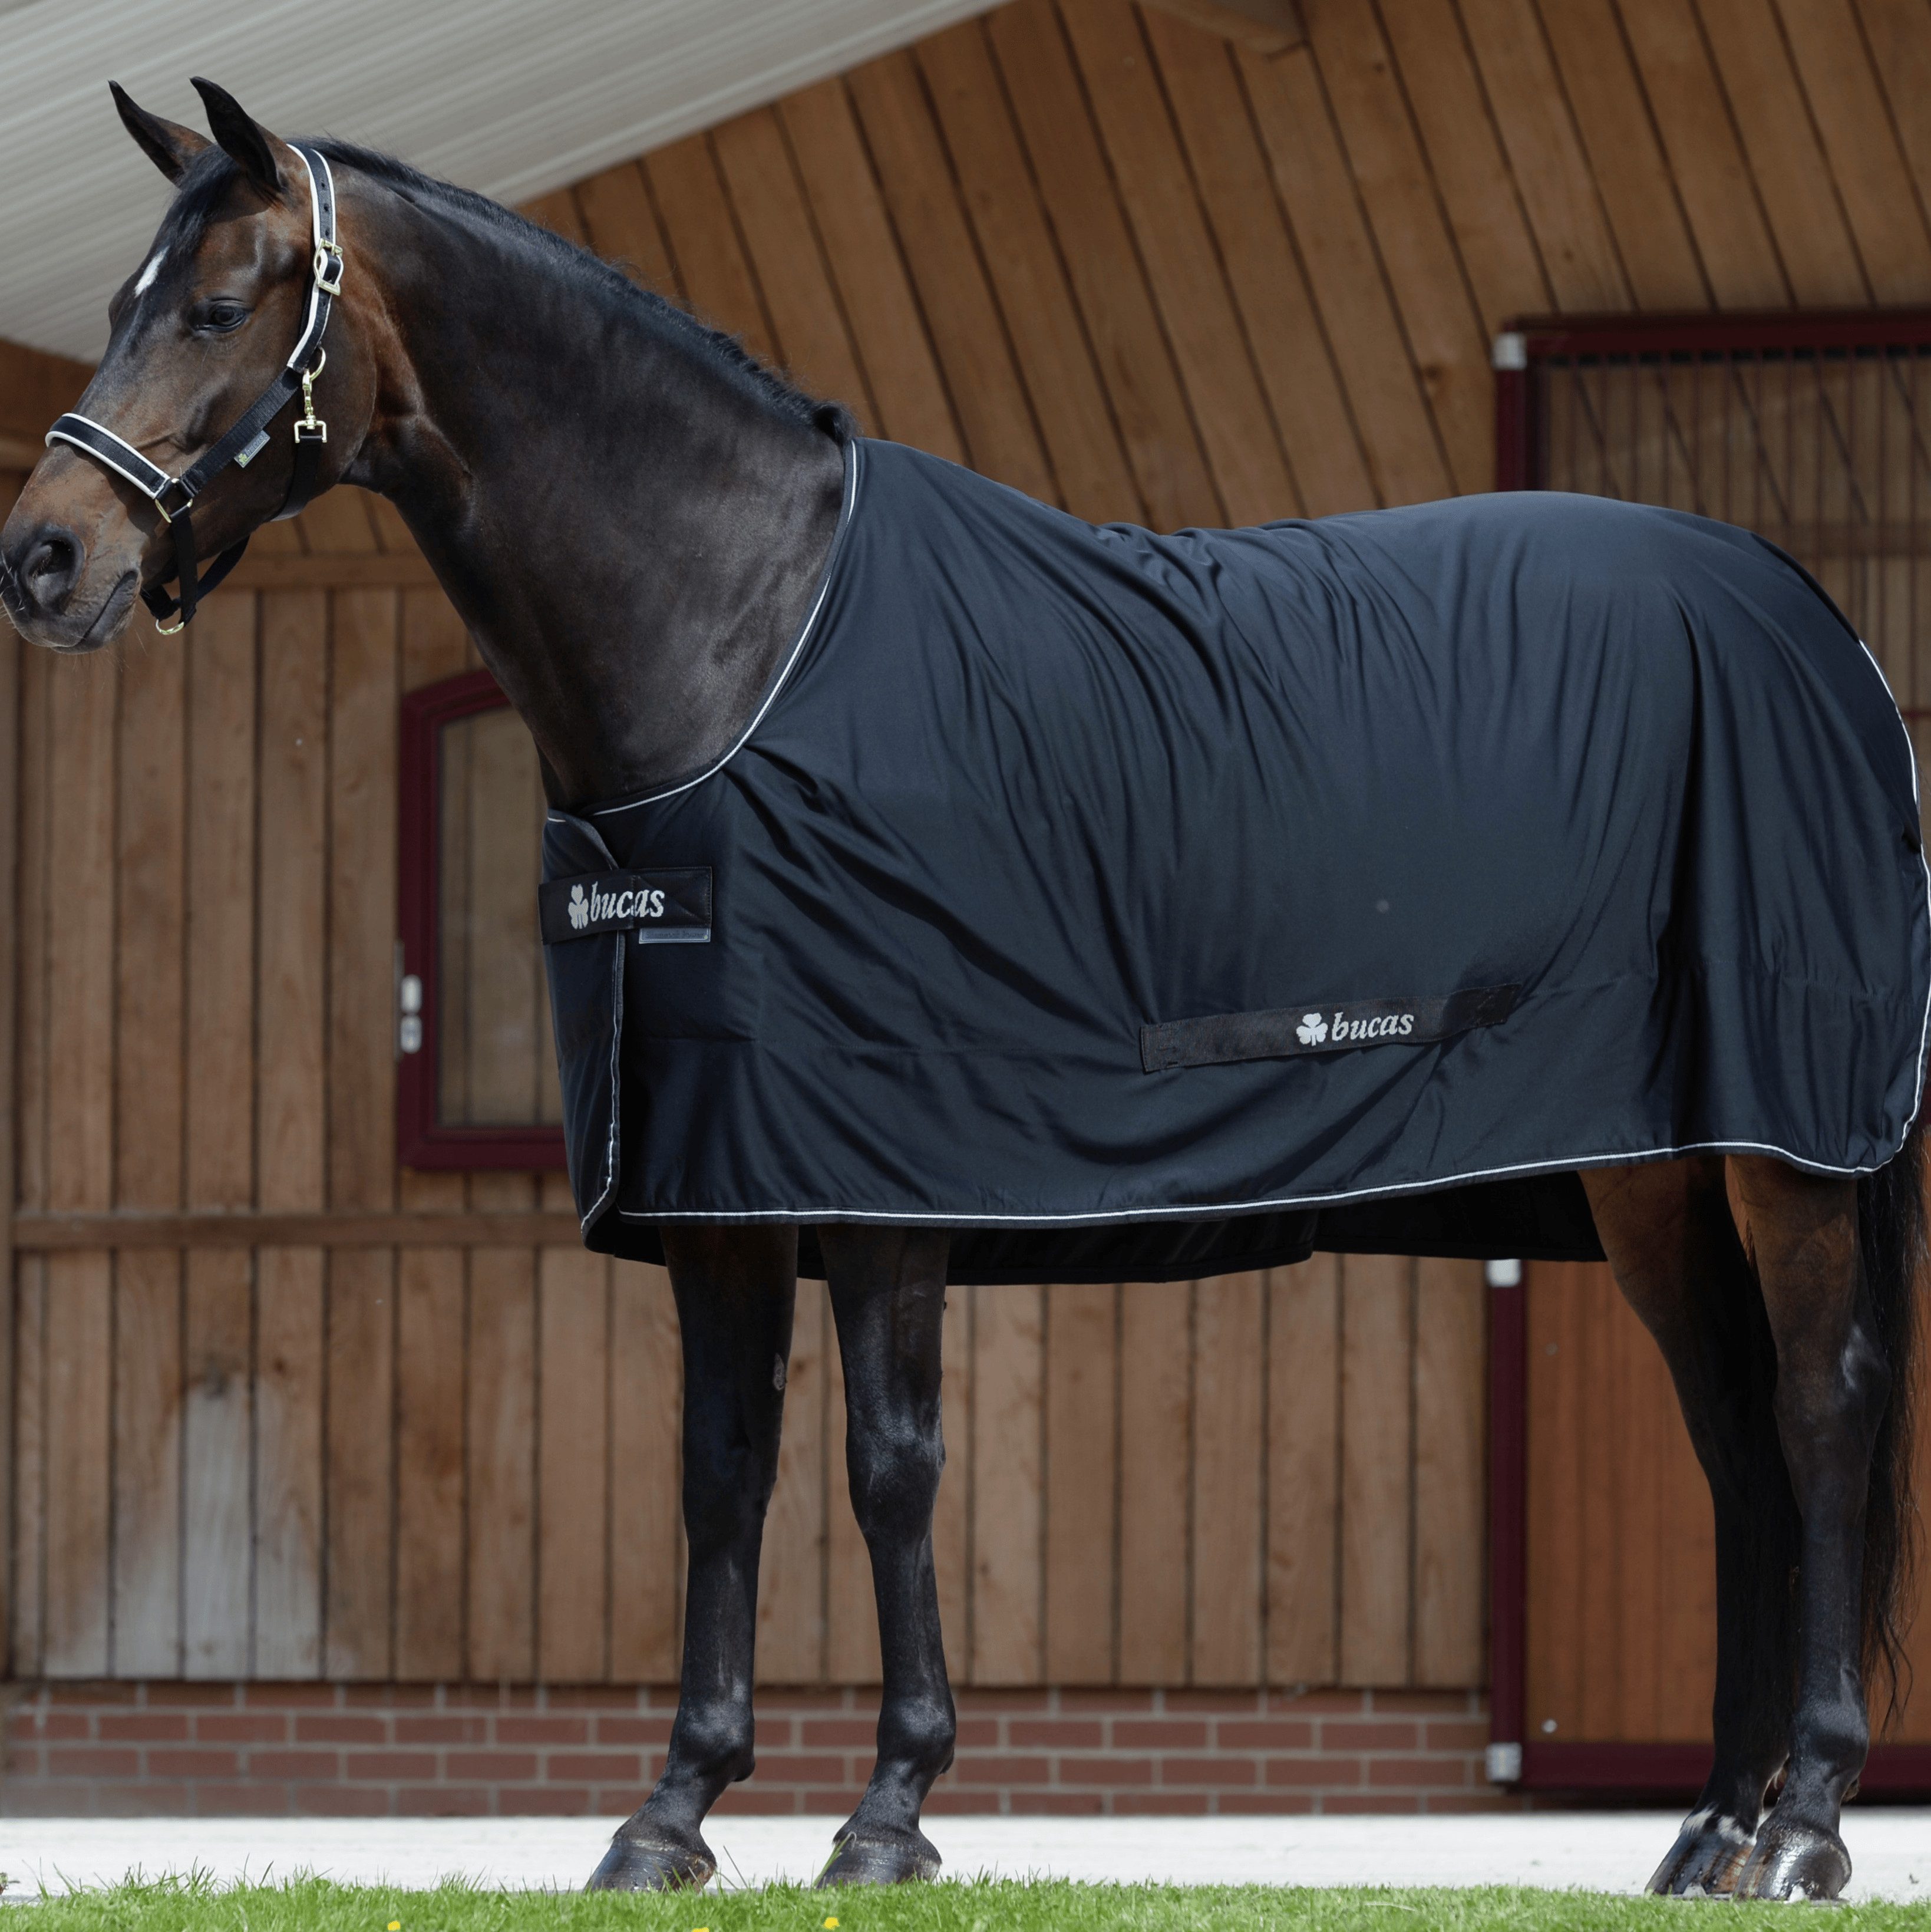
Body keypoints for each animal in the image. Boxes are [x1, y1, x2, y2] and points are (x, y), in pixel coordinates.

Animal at [2, 83, 1923, 1904]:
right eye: (115, 304)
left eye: (222, 303)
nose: (42, 558)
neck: (741, 638)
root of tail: (1814, 624)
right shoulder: (721, 1172)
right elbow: (723, 1471)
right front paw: (672, 1814)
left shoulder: (884, 1167)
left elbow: (890, 1461)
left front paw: (891, 1811)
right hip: (1646, 1175)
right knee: (1735, 1446)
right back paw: (1707, 1832)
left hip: (1785, 1154)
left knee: (1822, 1415)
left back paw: (1807, 1824)